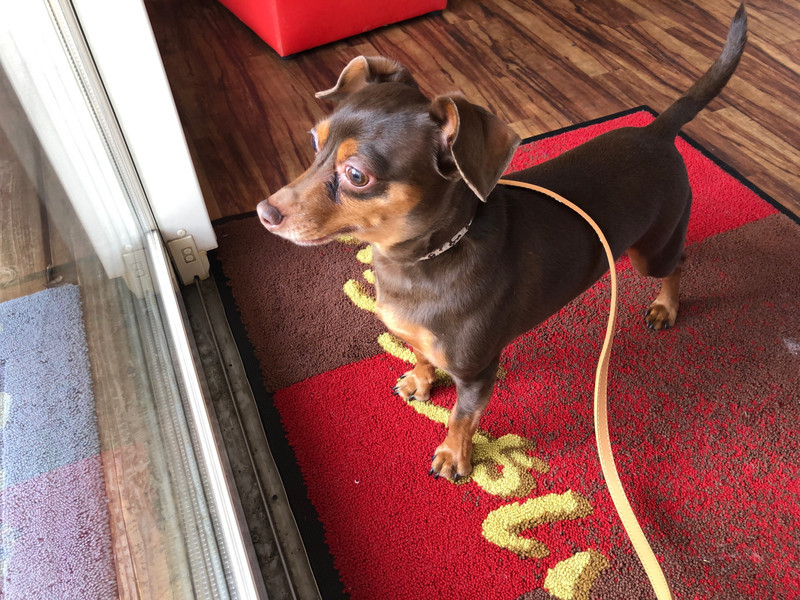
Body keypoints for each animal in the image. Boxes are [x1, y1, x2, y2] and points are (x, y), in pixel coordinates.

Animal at [257, 5, 748, 481]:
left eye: (357, 175)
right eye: (314, 140)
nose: (265, 213)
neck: (418, 260)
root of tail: (656, 130)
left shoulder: (477, 372)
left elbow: (462, 417)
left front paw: (454, 456)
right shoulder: (419, 336)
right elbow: (421, 354)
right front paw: (420, 382)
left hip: (653, 251)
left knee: (678, 261)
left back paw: (666, 306)